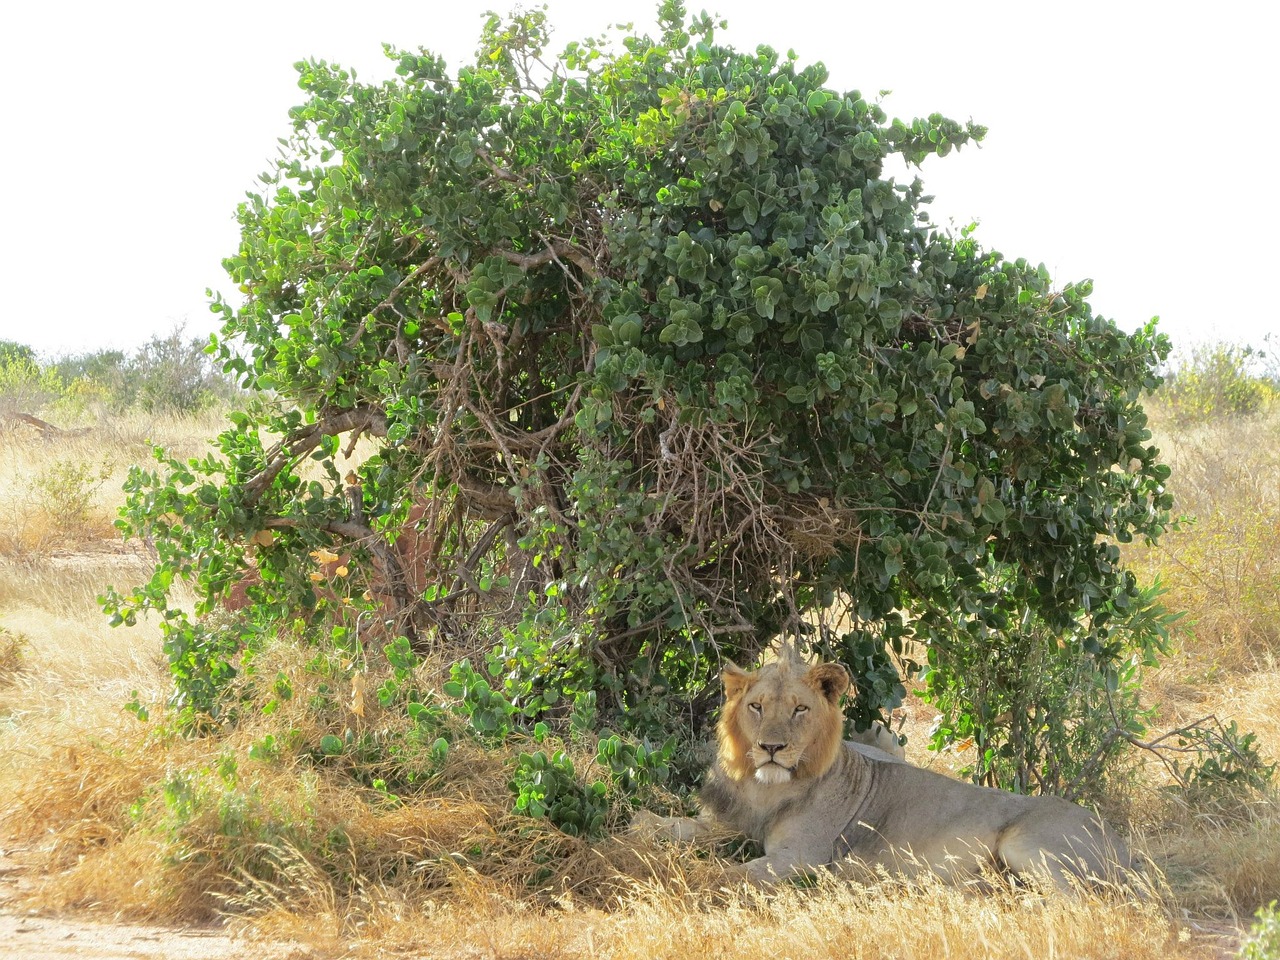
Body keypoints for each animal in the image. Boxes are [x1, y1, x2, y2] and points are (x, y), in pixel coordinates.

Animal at [637, 650, 1131, 890]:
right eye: (756, 707)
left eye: (799, 709)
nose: (771, 748)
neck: (769, 788)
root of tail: (1119, 841)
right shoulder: (728, 824)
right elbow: (681, 828)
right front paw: (640, 828)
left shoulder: (800, 858)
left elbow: (728, 874)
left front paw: (679, 877)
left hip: (1029, 845)